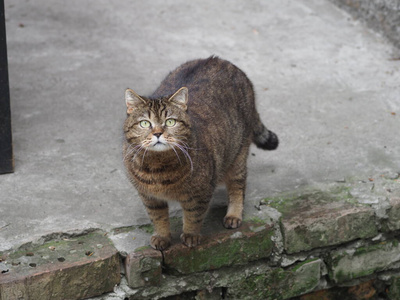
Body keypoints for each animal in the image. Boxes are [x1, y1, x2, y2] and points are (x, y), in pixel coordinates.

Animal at [122, 56, 278, 251]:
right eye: (144, 123)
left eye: (170, 122)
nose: (157, 133)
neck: (158, 168)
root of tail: (224, 61)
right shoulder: (149, 198)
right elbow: (158, 218)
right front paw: (162, 236)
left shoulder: (199, 195)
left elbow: (193, 216)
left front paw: (190, 235)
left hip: (238, 155)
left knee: (238, 186)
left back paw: (234, 215)